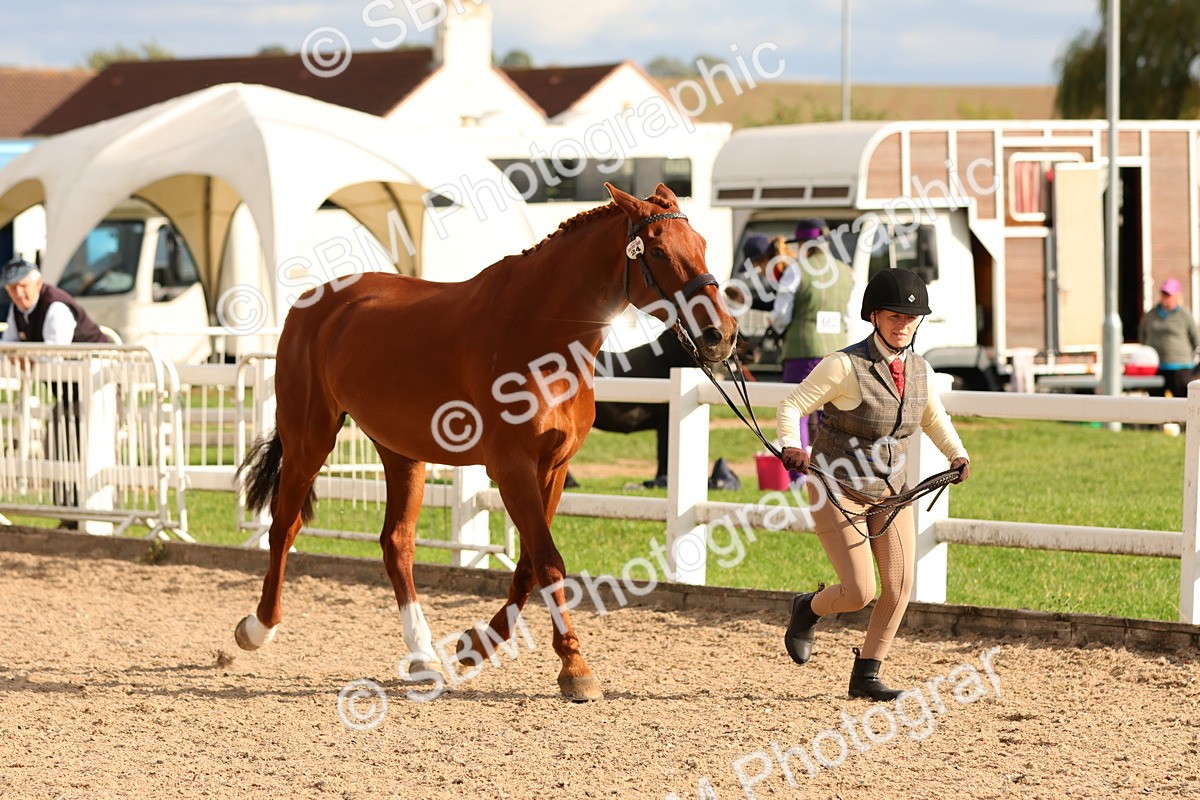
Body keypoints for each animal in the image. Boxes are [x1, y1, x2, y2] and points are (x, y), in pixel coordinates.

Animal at [233, 183, 738, 701]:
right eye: (657, 251)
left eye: (701, 244)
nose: (720, 335)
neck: (540, 331)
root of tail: (310, 303)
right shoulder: (511, 467)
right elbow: (549, 561)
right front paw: (574, 667)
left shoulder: (552, 468)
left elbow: (530, 564)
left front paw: (478, 645)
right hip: (309, 439)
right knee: (284, 527)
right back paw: (258, 627)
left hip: (401, 453)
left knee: (397, 543)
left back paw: (423, 655)